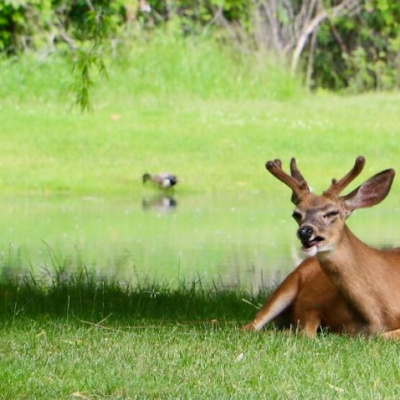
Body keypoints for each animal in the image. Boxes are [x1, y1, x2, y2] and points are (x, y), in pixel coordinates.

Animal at [244, 156, 400, 338]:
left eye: (332, 212)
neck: (377, 315)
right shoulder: (314, 303)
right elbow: (307, 328)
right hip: (287, 283)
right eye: (296, 214)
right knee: (249, 327)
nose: (305, 231)